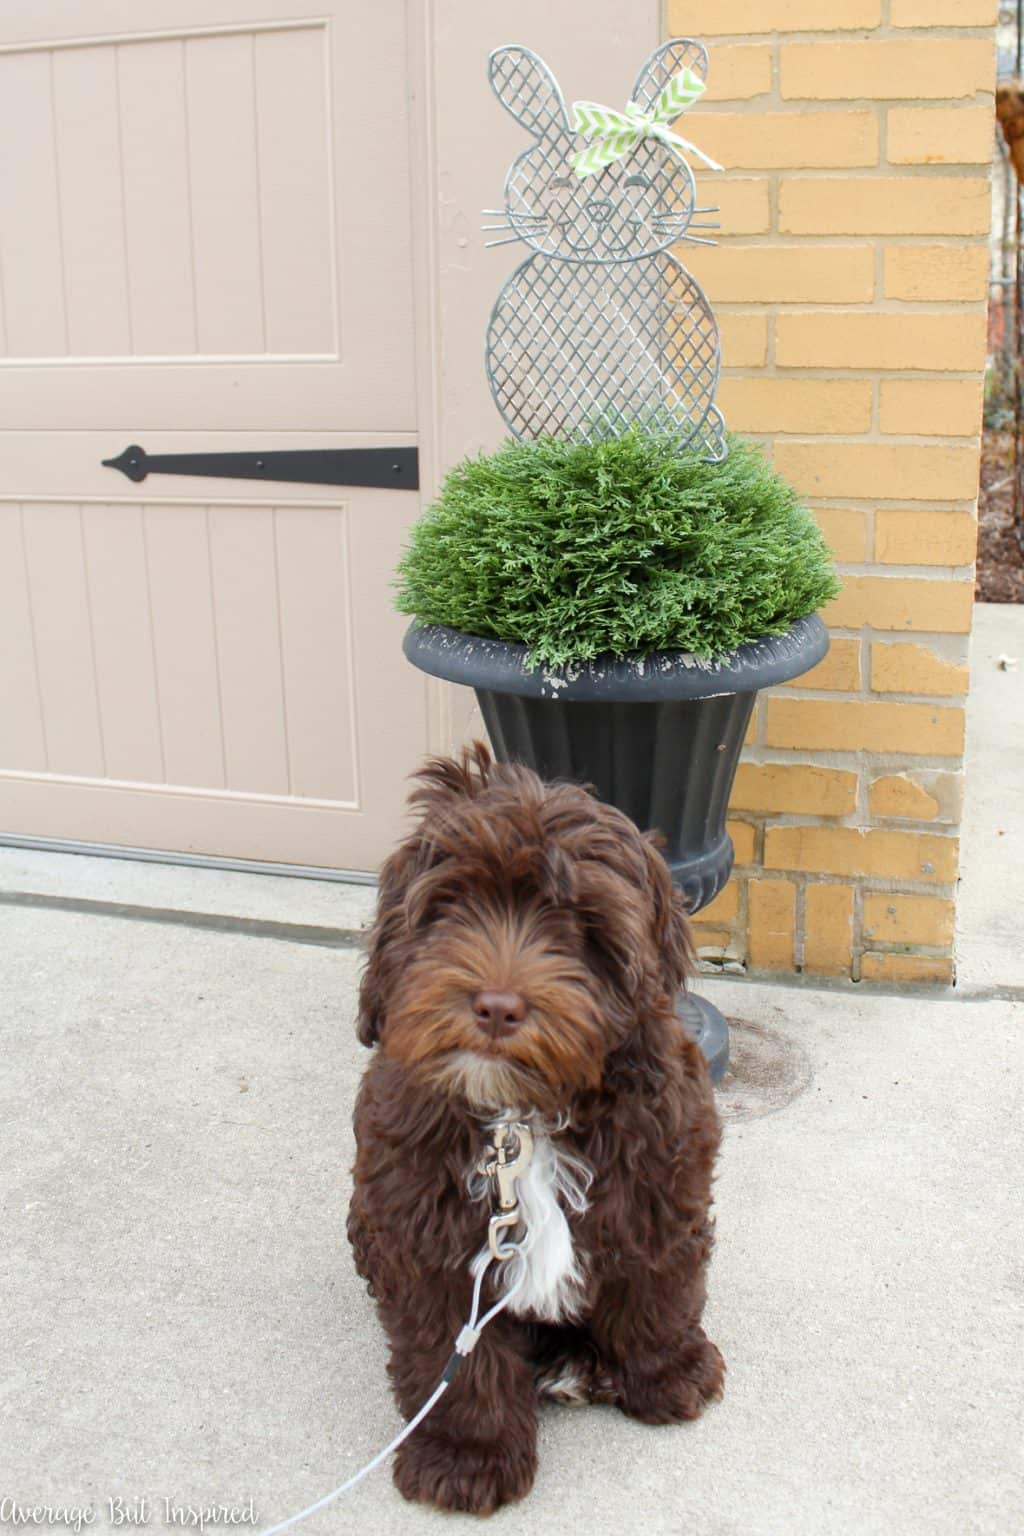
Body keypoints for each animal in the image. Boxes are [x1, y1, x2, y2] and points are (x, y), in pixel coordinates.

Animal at [348, 743, 724, 1511]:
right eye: (449, 907)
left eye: (580, 926)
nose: (496, 1007)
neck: (521, 1115)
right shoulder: (422, 1228)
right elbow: (451, 1351)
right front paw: (467, 1454)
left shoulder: (664, 1175)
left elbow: (660, 1278)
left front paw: (668, 1371)